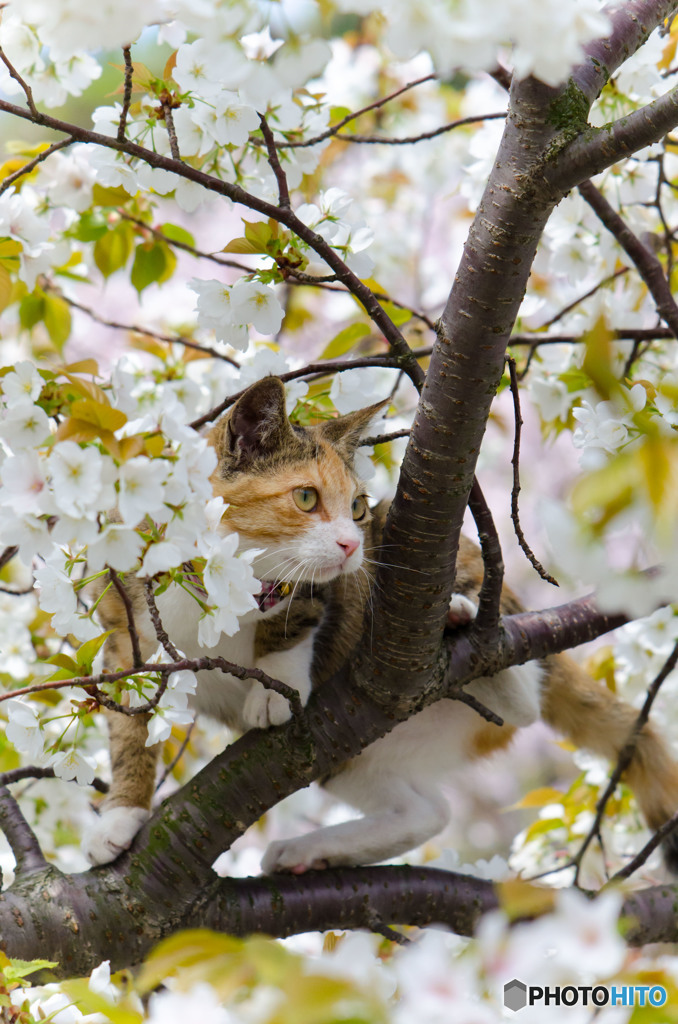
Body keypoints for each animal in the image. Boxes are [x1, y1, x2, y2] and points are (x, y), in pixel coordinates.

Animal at [86, 376, 678, 872]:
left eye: (358, 507)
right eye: (306, 497)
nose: (351, 544)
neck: (219, 581)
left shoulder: (336, 578)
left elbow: (303, 611)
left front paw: (276, 682)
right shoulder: (123, 630)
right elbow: (128, 725)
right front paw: (121, 811)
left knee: (525, 706)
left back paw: (464, 625)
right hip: (349, 757)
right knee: (428, 811)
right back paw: (311, 850)